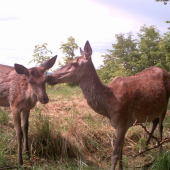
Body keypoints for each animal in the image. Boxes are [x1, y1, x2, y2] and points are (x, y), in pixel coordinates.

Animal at [46, 41, 170, 170]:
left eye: (74, 63)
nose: (48, 76)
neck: (107, 105)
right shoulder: (121, 125)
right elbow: (120, 153)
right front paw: (121, 168)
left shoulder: (122, 122)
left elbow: (114, 155)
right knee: (155, 122)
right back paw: (144, 148)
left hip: (166, 103)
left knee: (161, 126)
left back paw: (160, 153)